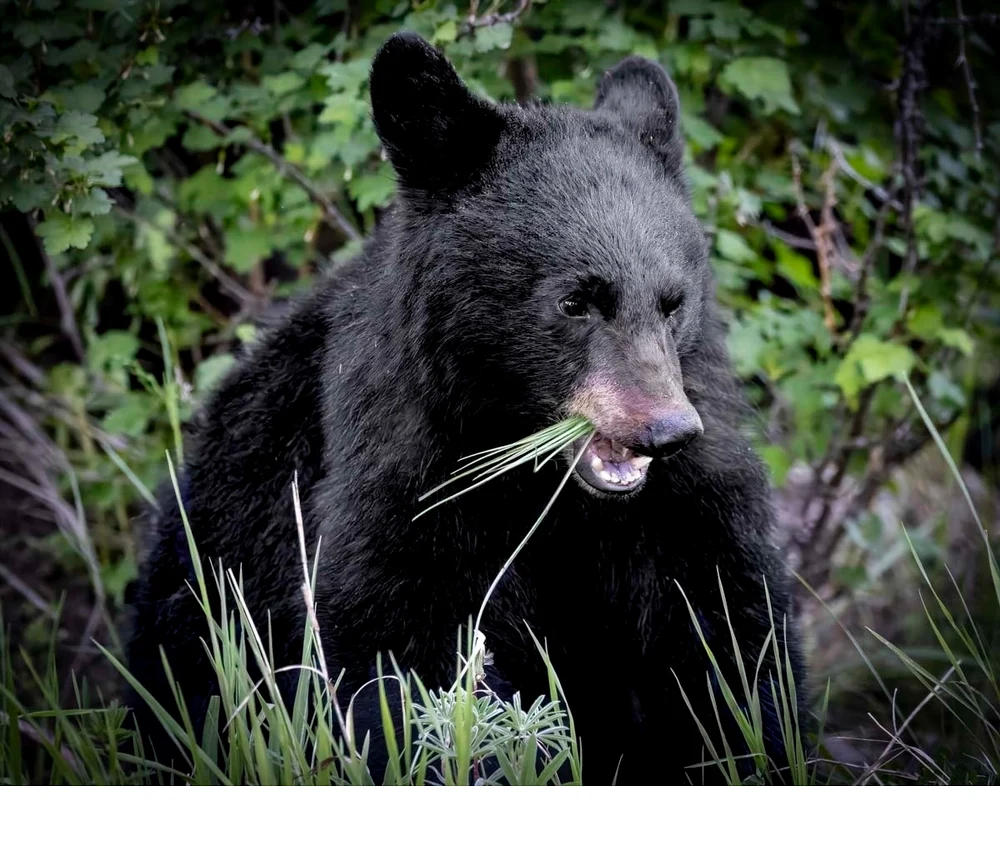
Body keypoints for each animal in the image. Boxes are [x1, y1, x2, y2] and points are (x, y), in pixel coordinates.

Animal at [126, 31, 806, 785]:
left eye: (672, 301)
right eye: (575, 300)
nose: (666, 430)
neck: (547, 490)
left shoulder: (681, 509)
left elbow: (728, 642)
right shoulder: (403, 488)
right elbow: (405, 665)